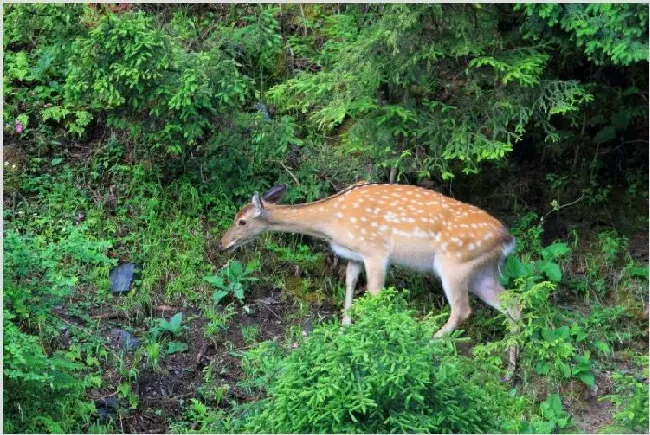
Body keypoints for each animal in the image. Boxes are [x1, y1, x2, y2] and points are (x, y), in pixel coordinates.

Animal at [220, 182, 520, 376]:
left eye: (242, 221)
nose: (223, 243)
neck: (331, 223)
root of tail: (507, 240)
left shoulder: (376, 251)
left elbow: (375, 294)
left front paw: (375, 337)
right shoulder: (354, 254)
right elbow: (350, 282)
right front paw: (345, 328)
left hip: (454, 264)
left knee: (462, 309)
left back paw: (430, 343)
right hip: (482, 272)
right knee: (513, 305)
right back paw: (510, 369)